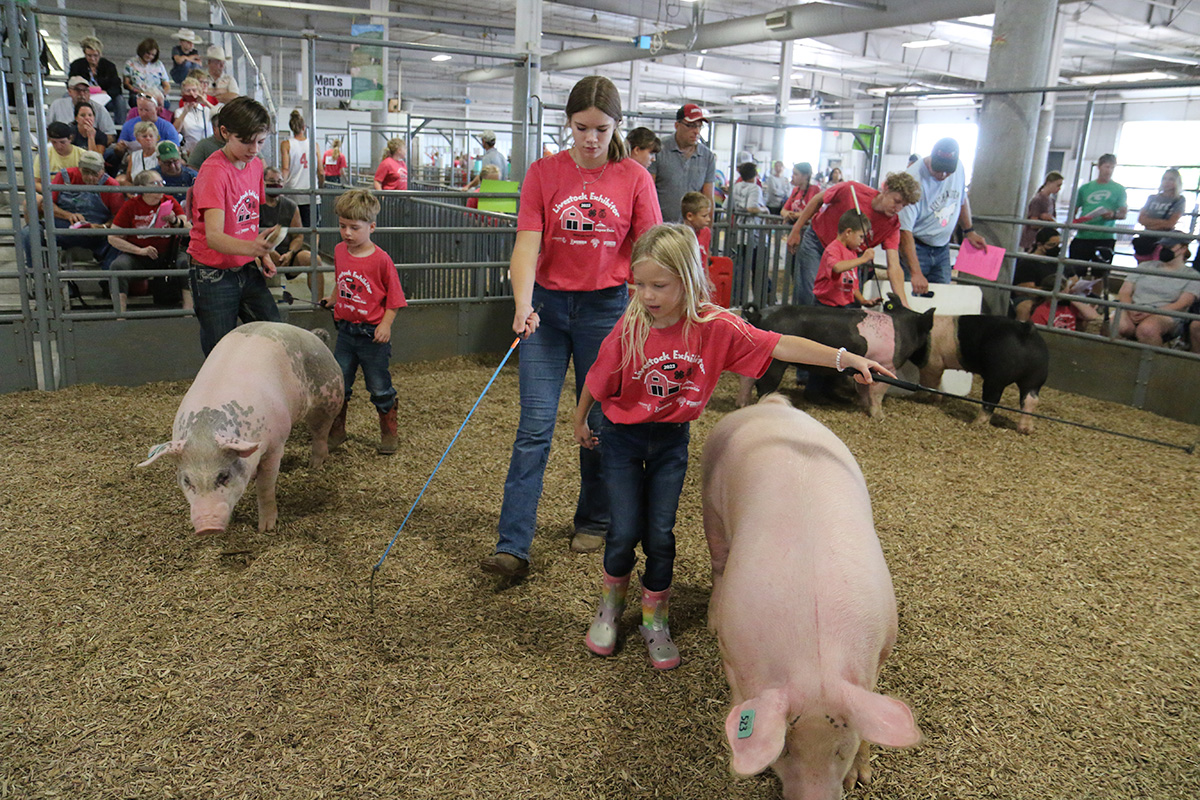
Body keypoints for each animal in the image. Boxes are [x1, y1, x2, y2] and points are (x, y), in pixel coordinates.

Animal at [142, 321, 348, 534]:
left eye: (224, 476)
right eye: (187, 480)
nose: (207, 527)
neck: (205, 432)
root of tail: (314, 335)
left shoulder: (275, 445)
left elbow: (265, 487)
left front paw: (266, 528)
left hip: (329, 397)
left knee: (320, 433)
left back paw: (315, 465)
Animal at [700, 395, 916, 800]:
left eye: (842, 748)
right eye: (785, 749)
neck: (813, 662)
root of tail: (771, 405)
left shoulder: (880, 650)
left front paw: (861, 780)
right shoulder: (732, 651)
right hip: (711, 507)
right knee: (718, 561)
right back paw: (710, 620)